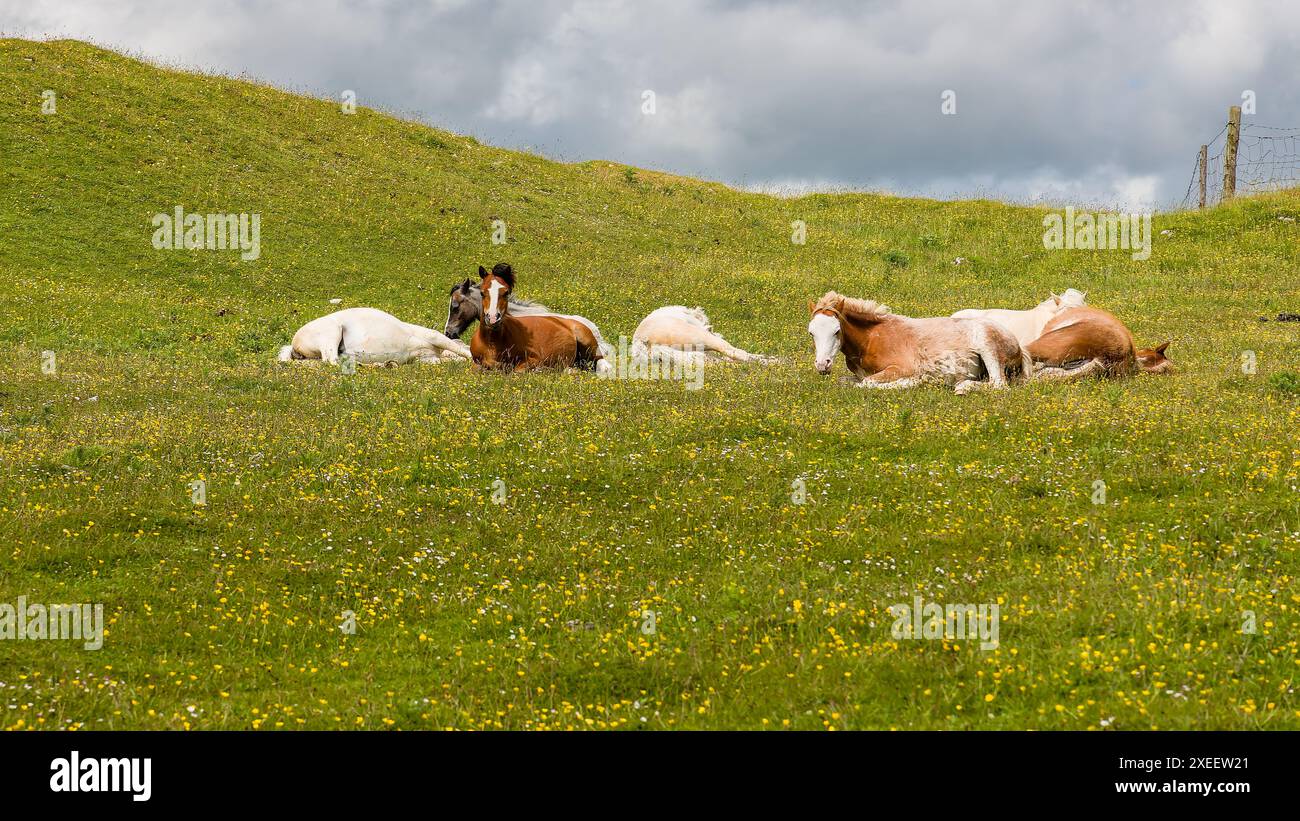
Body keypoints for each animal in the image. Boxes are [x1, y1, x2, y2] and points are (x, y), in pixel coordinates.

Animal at [277, 307, 470, 365]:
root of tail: (294, 343)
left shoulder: (427, 358)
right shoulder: (434, 337)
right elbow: (460, 350)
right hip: (332, 332)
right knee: (331, 359)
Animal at [470, 263, 610, 373]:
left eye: (506, 293)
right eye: (482, 293)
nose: (493, 319)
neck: (492, 343)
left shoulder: (534, 359)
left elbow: (518, 370)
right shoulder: (476, 364)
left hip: (589, 346)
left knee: (602, 363)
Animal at [808, 291, 1031, 394]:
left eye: (836, 331)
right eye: (811, 333)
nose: (822, 365)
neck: (871, 339)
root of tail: (1018, 346)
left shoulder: (901, 368)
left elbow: (867, 383)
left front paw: (916, 381)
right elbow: (847, 381)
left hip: (987, 346)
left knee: (998, 384)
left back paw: (962, 387)